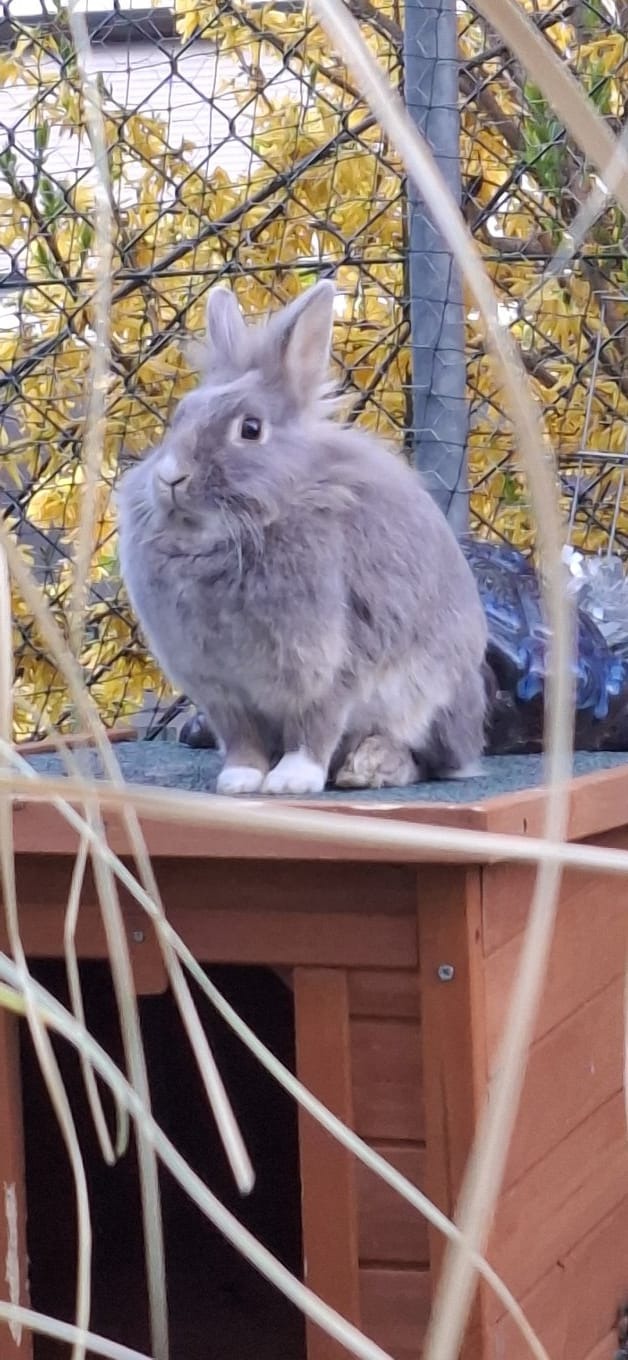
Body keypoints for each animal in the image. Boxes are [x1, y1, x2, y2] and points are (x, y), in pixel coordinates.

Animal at [117, 280, 488, 797]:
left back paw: (370, 766)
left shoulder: (328, 667)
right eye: (180, 418)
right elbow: (242, 740)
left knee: (426, 759)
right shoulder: (221, 692)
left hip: (433, 702)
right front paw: (239, 781)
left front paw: (292, 780)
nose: (171, 477)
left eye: (250, 429)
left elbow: (315, 727)